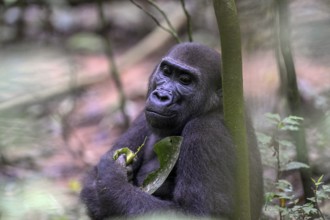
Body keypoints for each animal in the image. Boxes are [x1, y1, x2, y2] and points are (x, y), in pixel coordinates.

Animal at [80, 42, 262, 219]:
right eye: (166, 72)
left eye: (185, 80)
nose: (161, 96)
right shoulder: (144, 117)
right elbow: (92, 181)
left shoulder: (205, 131)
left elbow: (197, 212)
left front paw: (111, 178)